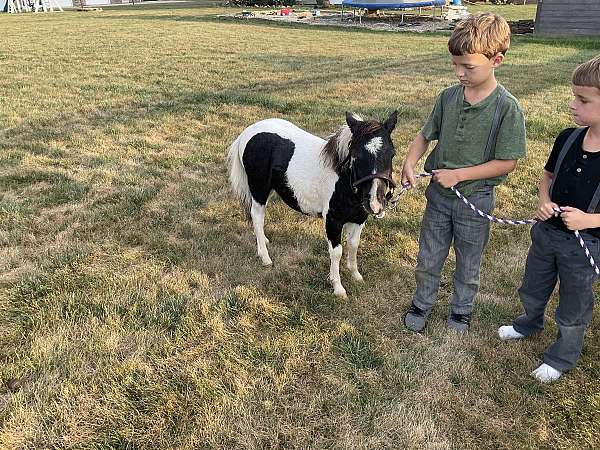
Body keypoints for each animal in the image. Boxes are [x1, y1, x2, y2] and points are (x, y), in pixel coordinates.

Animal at [230, 111, 398, 298]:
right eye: (355, 155)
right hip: (259, 189)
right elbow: (336, 252)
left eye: (392, 153)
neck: (342, 180)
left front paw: (355, 275)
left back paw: (264, 241)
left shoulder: (359, 219)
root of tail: (246, 133)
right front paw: (338, 287)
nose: (375, 203)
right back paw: (265, 257)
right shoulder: (332, 220)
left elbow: (353, 245)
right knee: (257, 217)